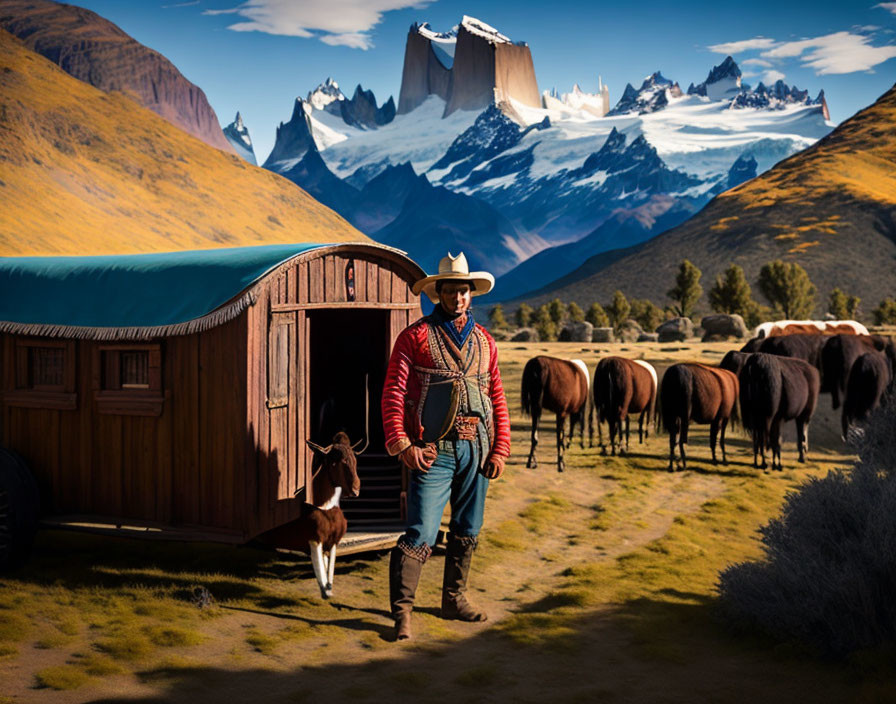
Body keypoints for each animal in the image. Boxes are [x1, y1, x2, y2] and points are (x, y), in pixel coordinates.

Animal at [258, 432, 362, 596]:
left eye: (354, 459)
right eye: (335, 462)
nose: (355, 490)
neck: (325, 508)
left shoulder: (332, 543)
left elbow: (328, 570)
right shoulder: (315, 541)